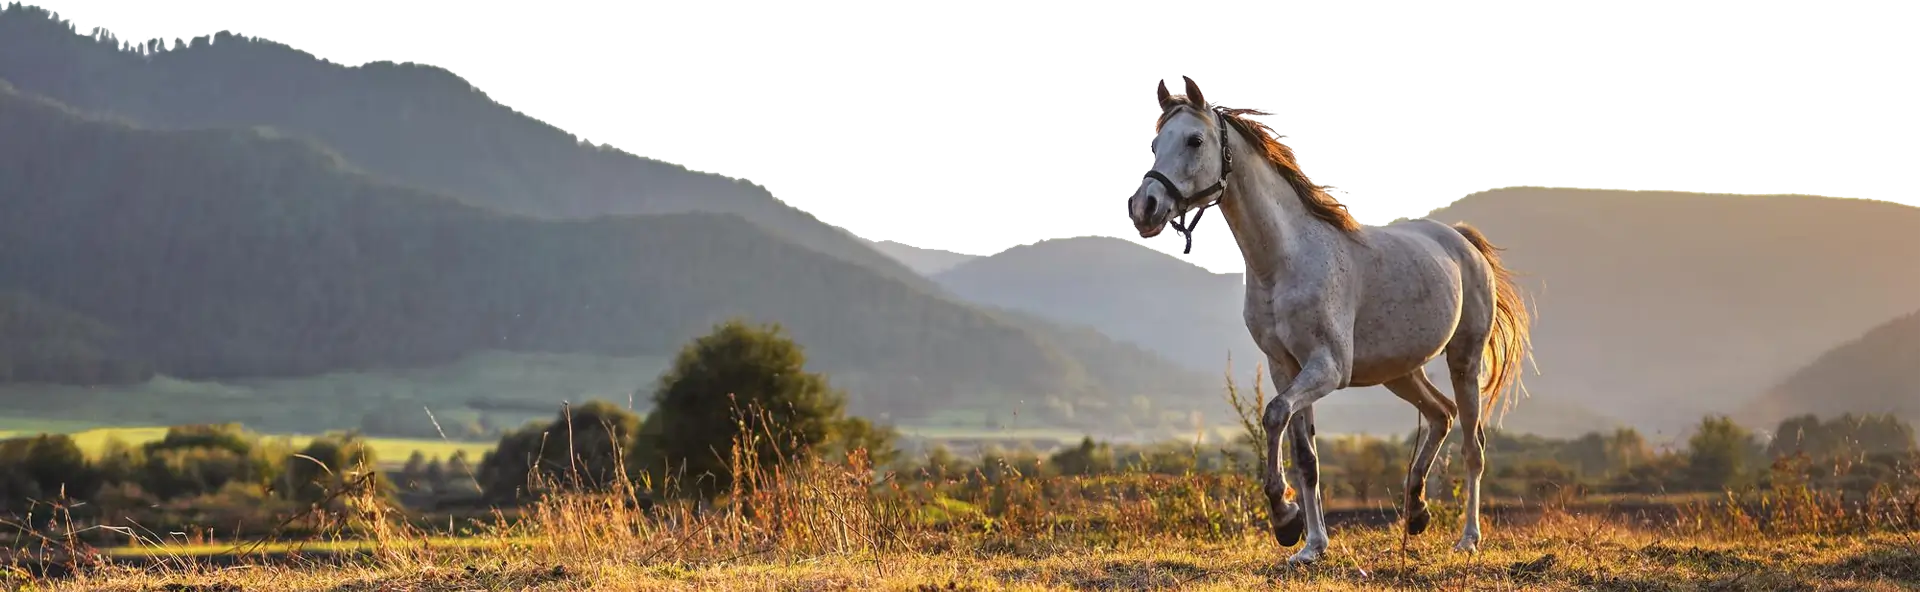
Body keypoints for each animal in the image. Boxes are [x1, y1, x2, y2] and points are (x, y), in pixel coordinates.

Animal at [1127, 76, 1535, 565]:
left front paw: (1285, 518)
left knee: (1473, 446)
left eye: (1194, 140)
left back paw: (1468, 538)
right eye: (1156, 143)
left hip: (1465, 361)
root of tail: (1461, 240)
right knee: (1441, 414)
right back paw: (1416, 511)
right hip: (1399, 372)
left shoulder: (1327, 367)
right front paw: (1308, 545)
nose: (1145, 208)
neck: (1284, 262)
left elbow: (1274, 415)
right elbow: (1305, 455)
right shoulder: (1287, 368)